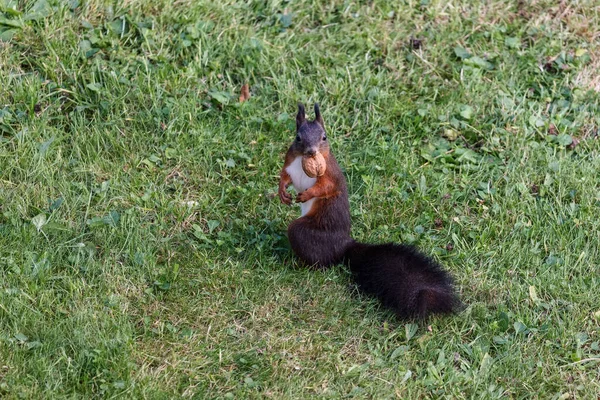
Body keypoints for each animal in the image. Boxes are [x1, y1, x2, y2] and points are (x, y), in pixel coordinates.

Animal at [278, 102, 462, 318]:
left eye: (324, 137)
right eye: (298, 137)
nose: (312, 152)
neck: (302, 161)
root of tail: (343, 245)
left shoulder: (329, 173)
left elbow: (326, 188)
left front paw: (307, 195)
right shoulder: (289, 160)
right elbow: (284, 176)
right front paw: (282, 192)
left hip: (307, 233)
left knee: (319, 260)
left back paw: (298, 264)